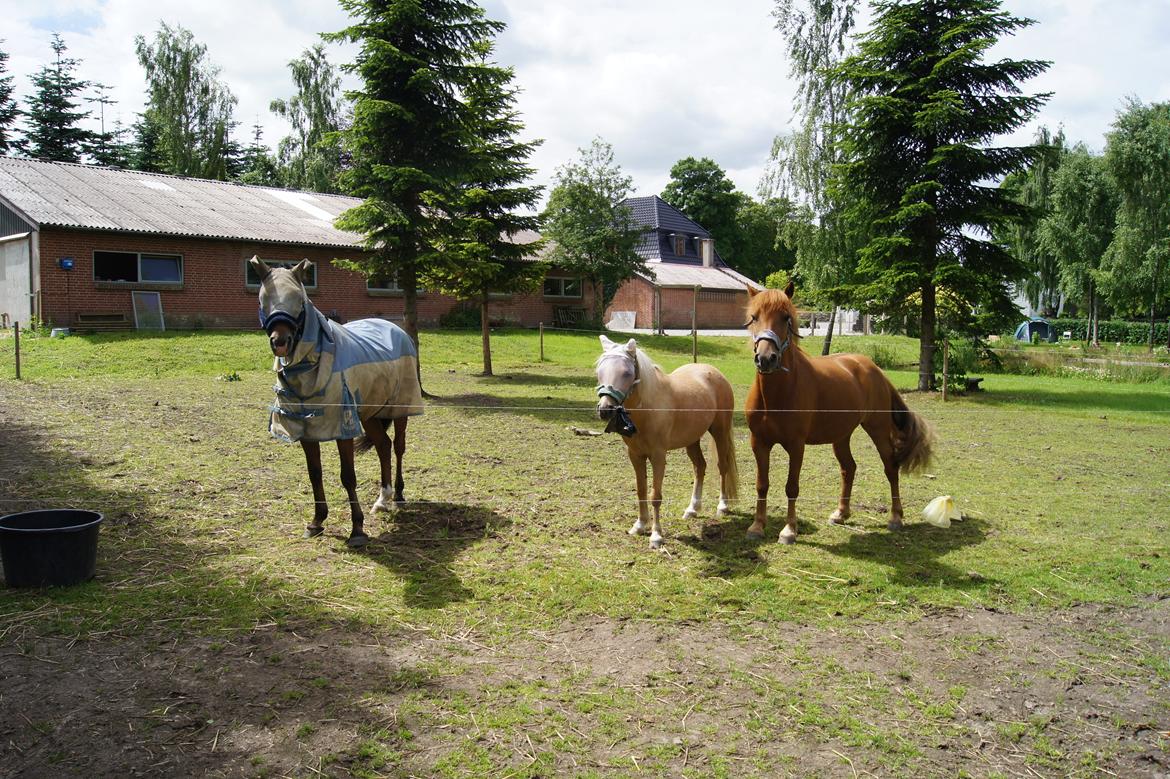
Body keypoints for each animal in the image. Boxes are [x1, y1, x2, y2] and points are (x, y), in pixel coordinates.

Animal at [251, 254, 425, 545]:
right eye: (263, 298)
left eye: (299, 299)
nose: (281, 341)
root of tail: (396, 329)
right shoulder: (308, 430)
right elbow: (315, 474)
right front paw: (316, 522)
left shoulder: (343, 428)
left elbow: (348, 476)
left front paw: (357, 530)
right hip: (369, 414)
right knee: (383, 446)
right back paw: (382, 499)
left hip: (400, 408)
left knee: (399, 447)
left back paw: (398, 496)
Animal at [594, 334, 739, 545]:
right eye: (600, 371)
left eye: (627, 373)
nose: (605, 410)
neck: (648, 409)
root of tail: (714, 372)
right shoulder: (635, 456)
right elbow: (641, 490)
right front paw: (639, 525)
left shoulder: (658, 456)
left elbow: (655, 495)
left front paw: (656, 535)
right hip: (692, 439)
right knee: (700, 467)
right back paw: (692, 509)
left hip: (720, 432)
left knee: (722, 466)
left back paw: (722, 506)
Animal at [744, 281, 935, 542]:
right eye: (754, 317)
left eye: (785, 317)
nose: (766, 358)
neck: (775, 396)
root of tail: (874, 368)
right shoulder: (759, 442)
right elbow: (762, 484)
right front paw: (757, 526)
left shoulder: (796, 445)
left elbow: (791, 486)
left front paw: (789, 530)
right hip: (841, 436)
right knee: (849, 468)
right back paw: (841, 513)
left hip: (877, 429)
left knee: (890, 467)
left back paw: (896, 517)